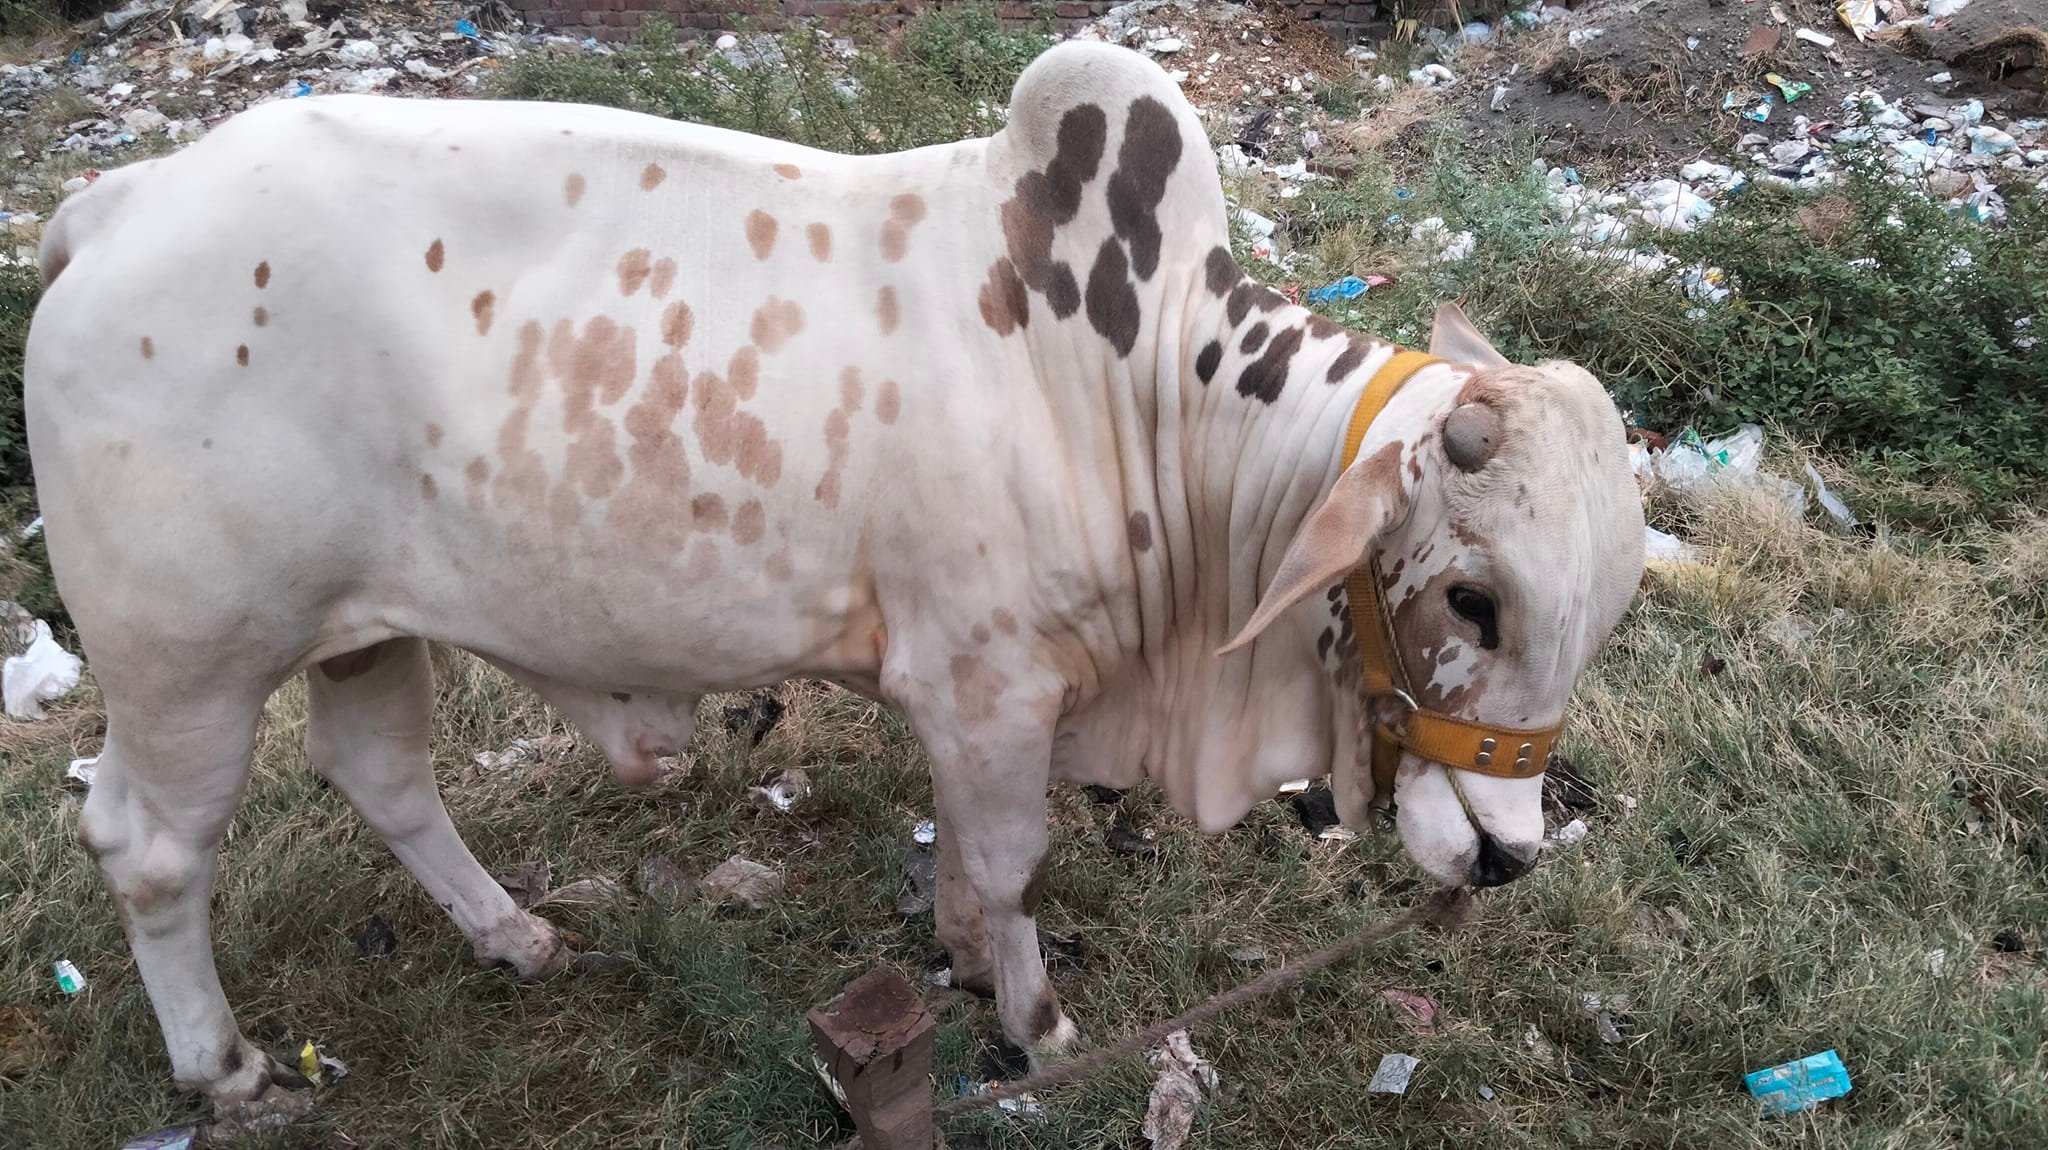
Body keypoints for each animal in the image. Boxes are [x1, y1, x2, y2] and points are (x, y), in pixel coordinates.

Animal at [26, 39, 1645, 1123]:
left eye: (1605, 615)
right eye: (1474, 598)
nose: (1508, 856)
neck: (1148, 397)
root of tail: (111, 207)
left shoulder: (971, 699)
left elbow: (968, 871)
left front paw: (963, 964)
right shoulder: (988, 684)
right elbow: (1014, 863)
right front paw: (1035, 1023)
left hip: (361, 628)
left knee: (379, 770)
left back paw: (514, 934)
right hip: (190, 663)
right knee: (151, 849)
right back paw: (225, 1064)